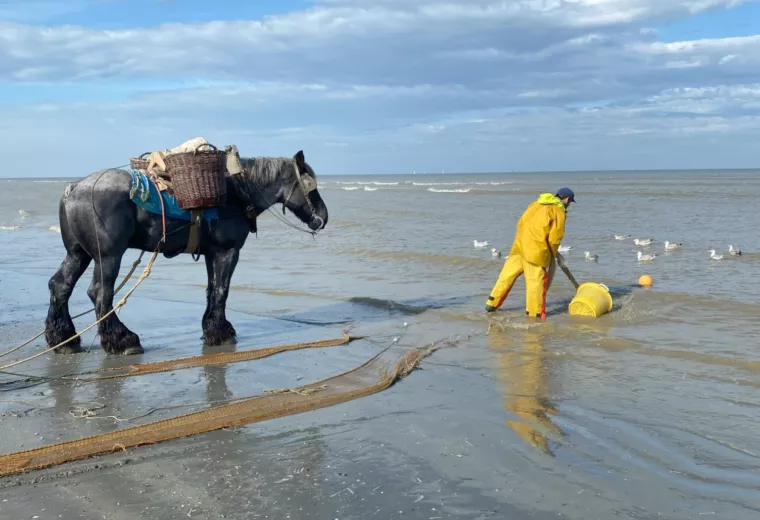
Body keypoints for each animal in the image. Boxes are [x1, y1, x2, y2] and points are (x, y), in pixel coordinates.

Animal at [44, 150, 328, 356]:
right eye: (310, 186)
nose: (323, 217)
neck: (235, 193)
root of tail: (74, 188)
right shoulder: (228, 252)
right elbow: (222, 290)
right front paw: (222, 332)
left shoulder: (212, 253)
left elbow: (212, 290)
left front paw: (213, 329)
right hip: (108, 256)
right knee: (101, 294)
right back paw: (123, 340)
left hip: (78, 253)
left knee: (60, 286)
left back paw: (64, 339)